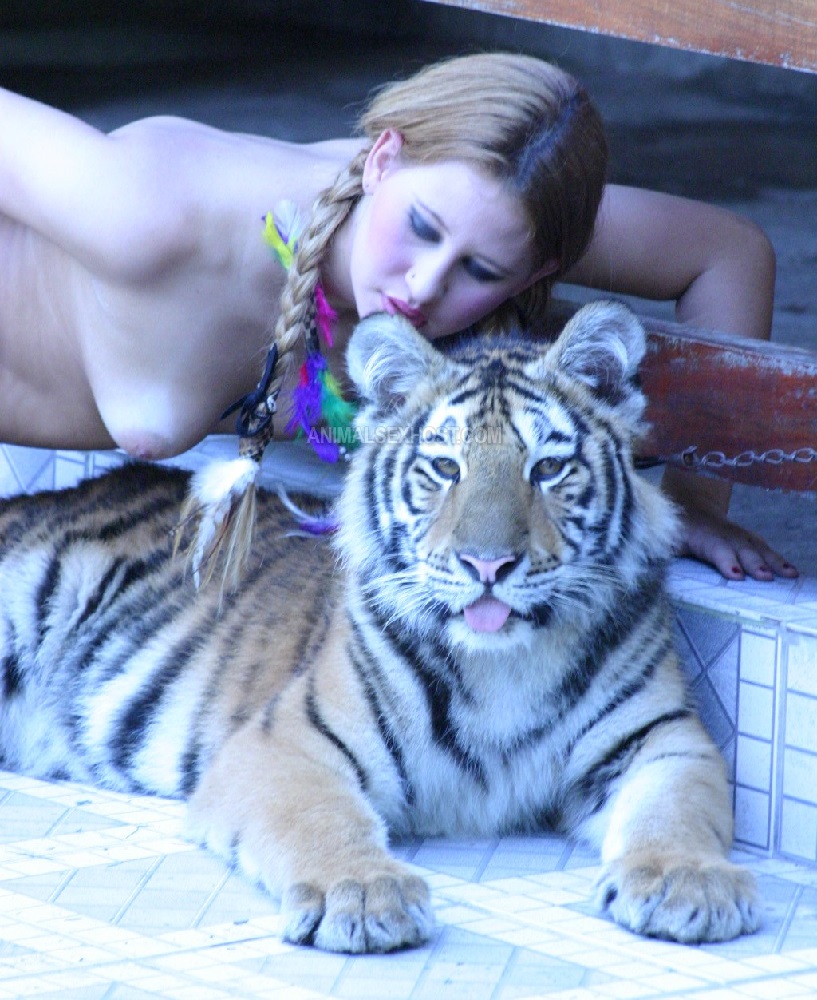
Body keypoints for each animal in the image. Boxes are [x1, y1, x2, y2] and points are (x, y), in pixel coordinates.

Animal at [0, 301, 758, 953]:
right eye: (445, 466)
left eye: (546, 467)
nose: (487, 564)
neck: (504, 662)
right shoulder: (287, 742)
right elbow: (320, 819)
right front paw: (360, 894)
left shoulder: (662, 738)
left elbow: (675, 811)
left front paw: (689, 884)